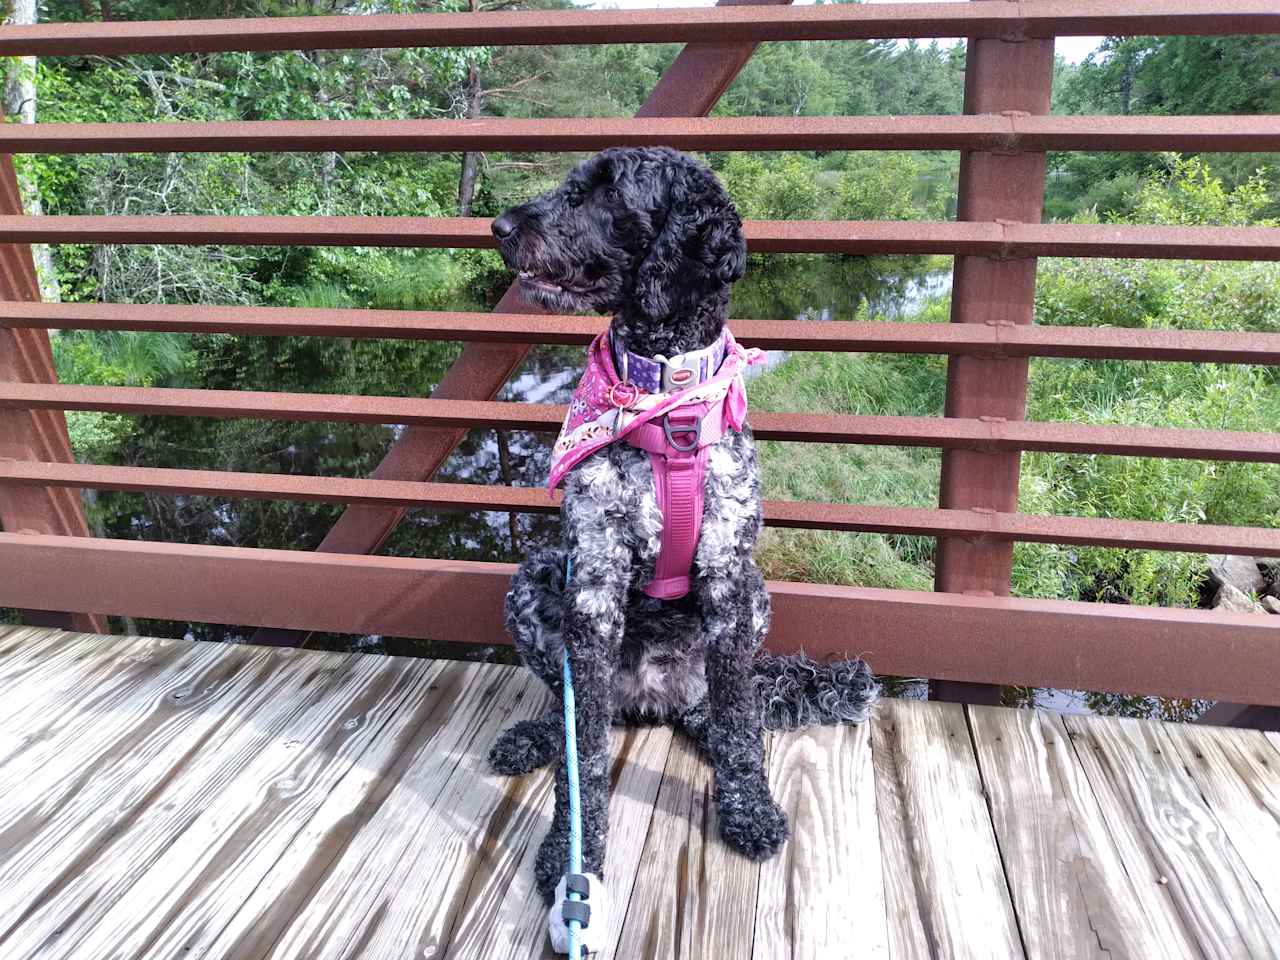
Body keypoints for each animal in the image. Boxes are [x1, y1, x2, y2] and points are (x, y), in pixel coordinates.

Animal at [483, 150, 875, 947]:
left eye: (604, 191)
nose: (500, 225)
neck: (666, 397)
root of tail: (655, 700)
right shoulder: (593, 581)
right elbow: (584, 755)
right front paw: (571, 854)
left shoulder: (728, 573)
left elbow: (739, 722)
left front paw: (748, 807)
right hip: (535, 578)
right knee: (574, 708)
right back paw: (540, 735)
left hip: (756, 598)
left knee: (723, 705)